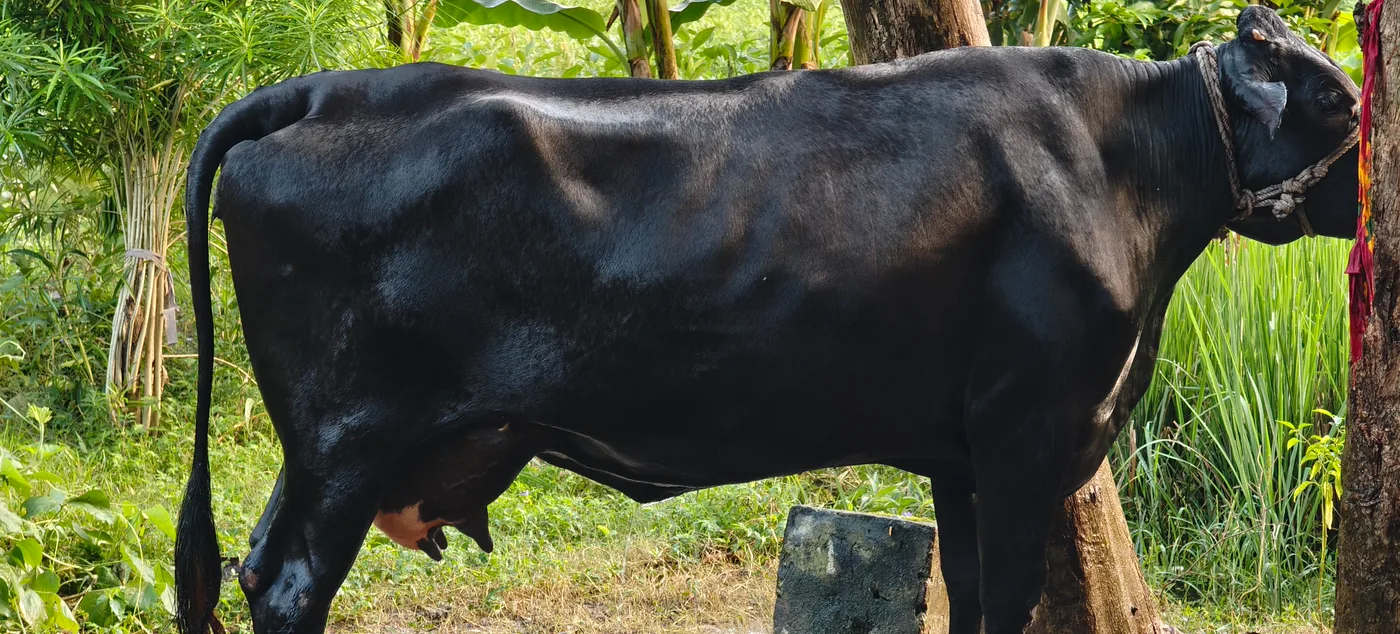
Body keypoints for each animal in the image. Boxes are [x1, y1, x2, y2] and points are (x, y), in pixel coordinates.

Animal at [174, 6, 1360, 634]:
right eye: (1338, 101)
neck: (1124, 166)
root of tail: (327, 88)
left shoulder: (961, 452)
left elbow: (972, 594)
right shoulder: (1026, 435)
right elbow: (1009, 600)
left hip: (322, 452)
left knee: (251, 565)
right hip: (348, 440)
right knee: (287, 585)